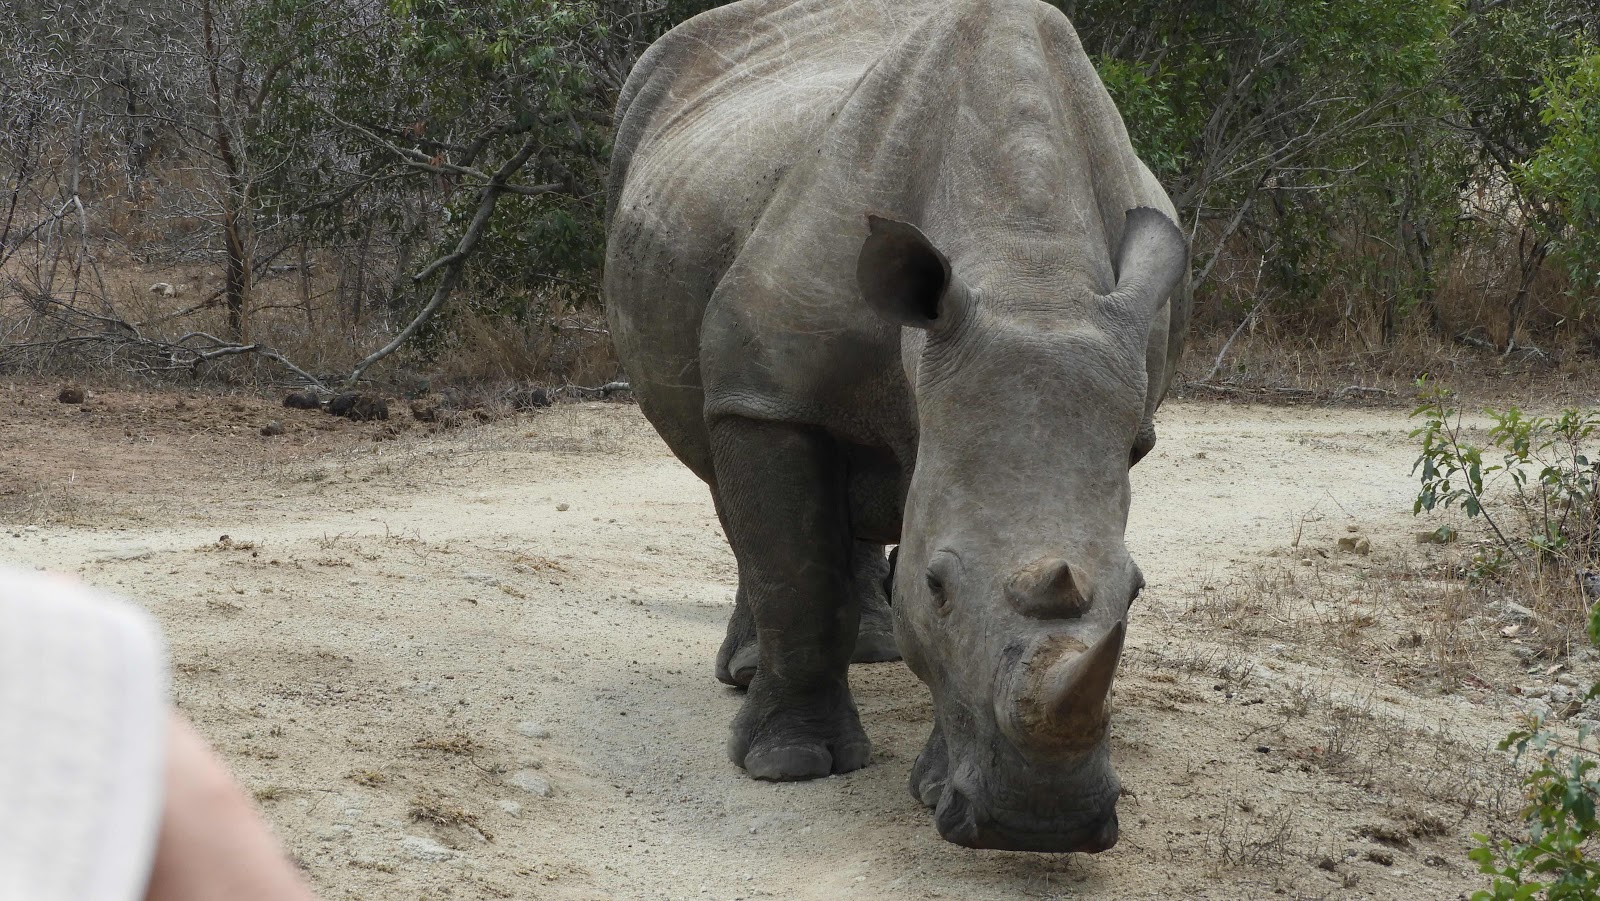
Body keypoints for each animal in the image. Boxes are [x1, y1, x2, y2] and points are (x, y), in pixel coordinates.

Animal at [604, 0, 1184, 851]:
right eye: (936, 586)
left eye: (1139, 591)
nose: (1041, 825)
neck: (1031, 278)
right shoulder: (765, 389)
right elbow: (795, 571)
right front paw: (787, 765)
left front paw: (936, 787)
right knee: (742, 492)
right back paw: (751, 676)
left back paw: (871, 650)